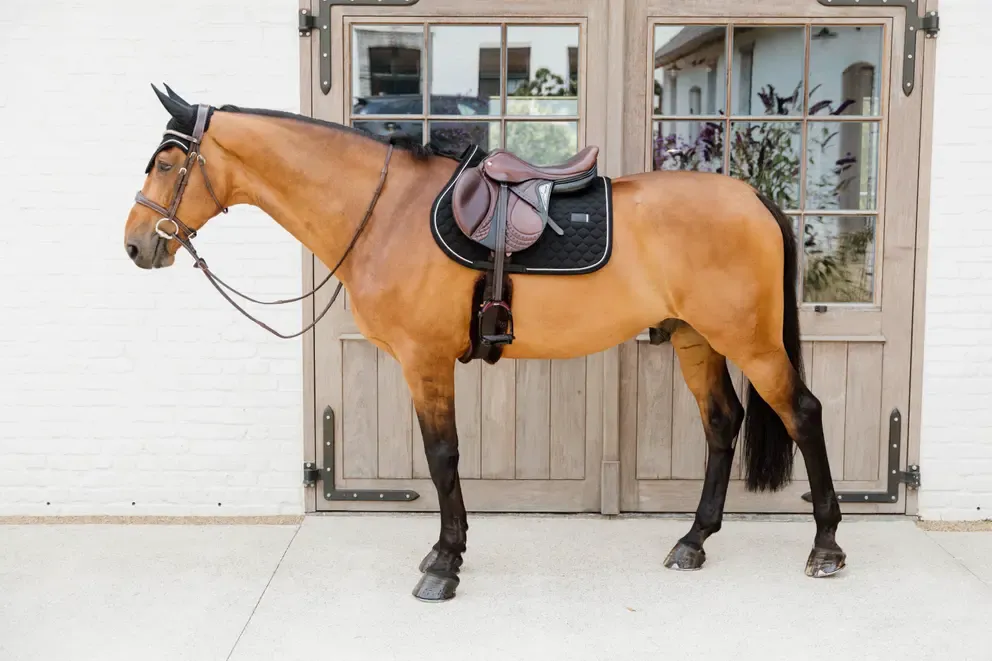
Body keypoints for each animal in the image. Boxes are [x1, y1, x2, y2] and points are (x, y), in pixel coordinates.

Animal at [123, 84, 845, 602]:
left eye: (167, 162)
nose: (135, 245)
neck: (388, 212)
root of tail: (753, 198)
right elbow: (441, 459)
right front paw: (449, 550)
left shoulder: (425, 361)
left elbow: (443, 456)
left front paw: (444, 564)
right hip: (697, 339)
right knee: (723, 423)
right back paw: (693, 541)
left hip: (750, 341)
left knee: (805, 413)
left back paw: (826, 547)